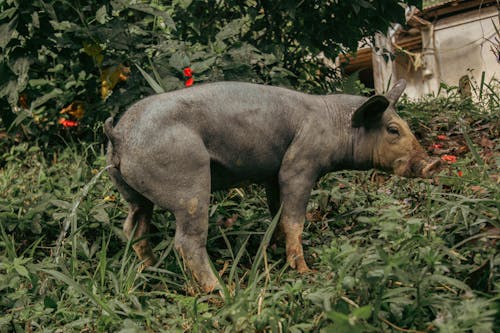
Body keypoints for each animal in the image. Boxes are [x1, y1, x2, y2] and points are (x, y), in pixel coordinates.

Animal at [103, 78, 440, 290]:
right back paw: (220, 291)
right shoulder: (300, 164)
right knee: (186, 240)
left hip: (131, 191)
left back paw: (150, 270)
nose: (433, 164)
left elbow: (277, 212)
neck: (336, 125)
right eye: (393, 130)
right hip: (189, 181)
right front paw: (305, 270)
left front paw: (275, 250)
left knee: (133, 227)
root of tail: (117, 134)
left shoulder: (272, 175)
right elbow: (294, 219)